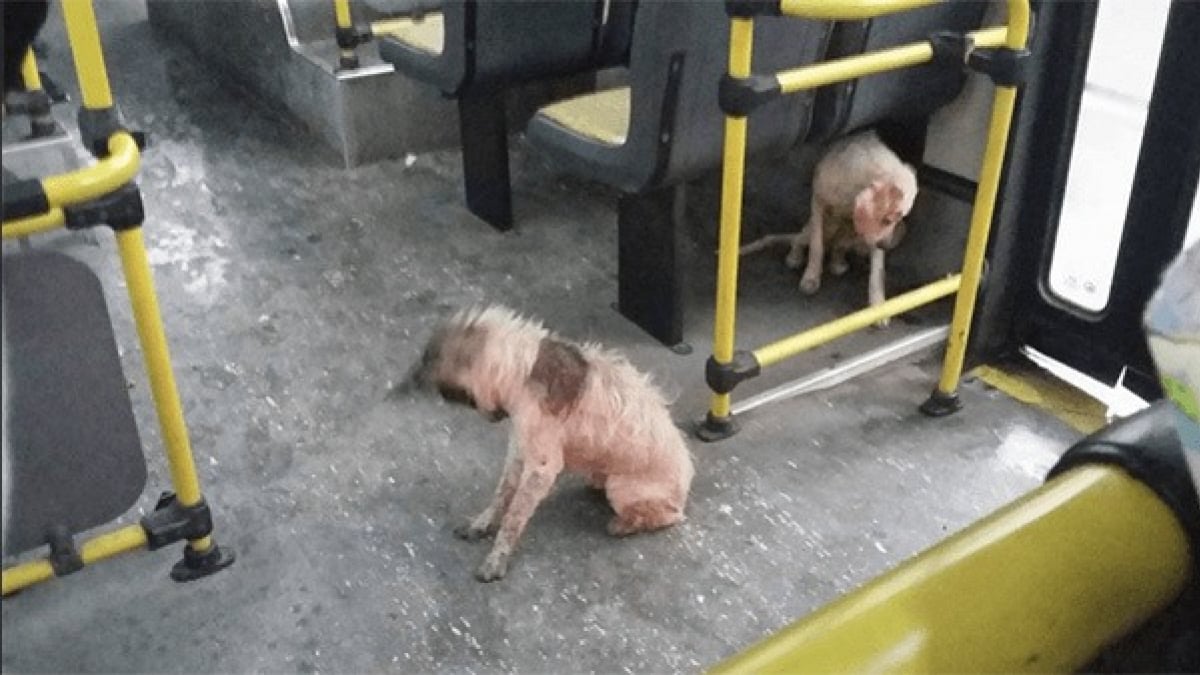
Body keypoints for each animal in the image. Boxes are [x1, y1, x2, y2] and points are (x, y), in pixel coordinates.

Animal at [403, 305, 696, 578]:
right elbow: (502, 494)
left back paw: (624, 524)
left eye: (459, 396)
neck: (521, 367)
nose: (412, 381)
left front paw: (497, 557)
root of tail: (687, 479)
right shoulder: (518, 448)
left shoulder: (541, 467)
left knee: (668, 516)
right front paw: (482, 523)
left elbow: (514, 517)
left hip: (624, 488)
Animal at [734, 129, 912, 326]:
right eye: (888, 220)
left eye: (900, 218)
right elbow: (816, 248)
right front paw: (811, 277)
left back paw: (838, 263)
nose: (887, 246)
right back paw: (795, 257)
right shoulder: (818, 203)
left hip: (854, 237)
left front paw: (878, 305)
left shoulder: (871, 233)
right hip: (818, 228)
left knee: (839, 247)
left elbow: (877, 272)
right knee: (800, 240)